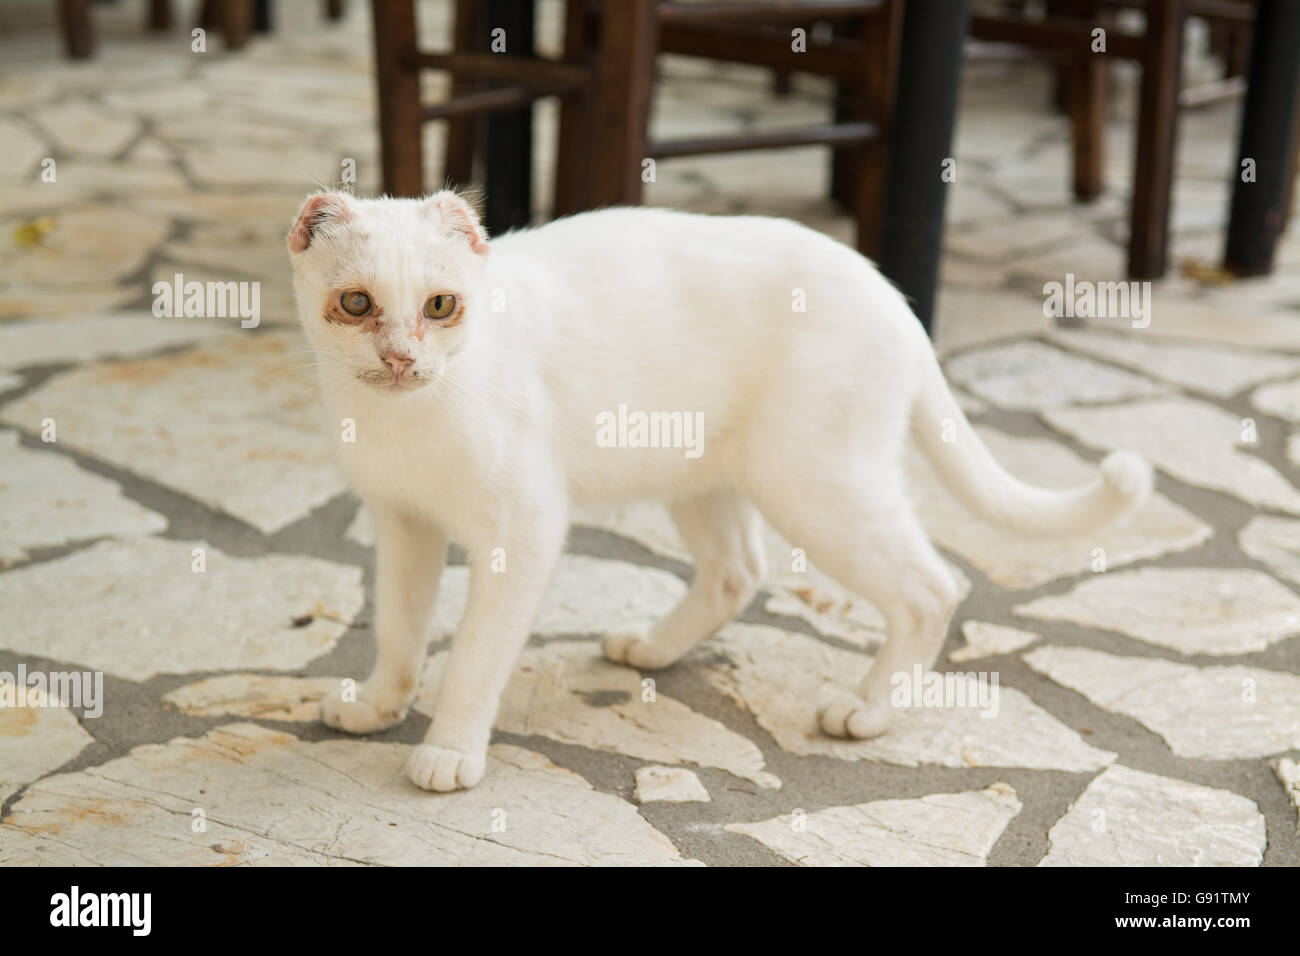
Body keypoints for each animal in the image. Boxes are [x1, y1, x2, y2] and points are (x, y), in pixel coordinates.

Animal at [287, 192, 1149, 790]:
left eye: (441, 306)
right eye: (358, 304)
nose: (402, 359)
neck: (406, 417)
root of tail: (891, 293)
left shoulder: (523, 532)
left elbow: (472, 658)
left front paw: (448, 750)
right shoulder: (403, 524)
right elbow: (399, 630)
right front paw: (379, 705)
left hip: (817, 485)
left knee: (931, 588)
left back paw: (869, 709)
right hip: (705, 476)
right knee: (738, 571)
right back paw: (654, 647)